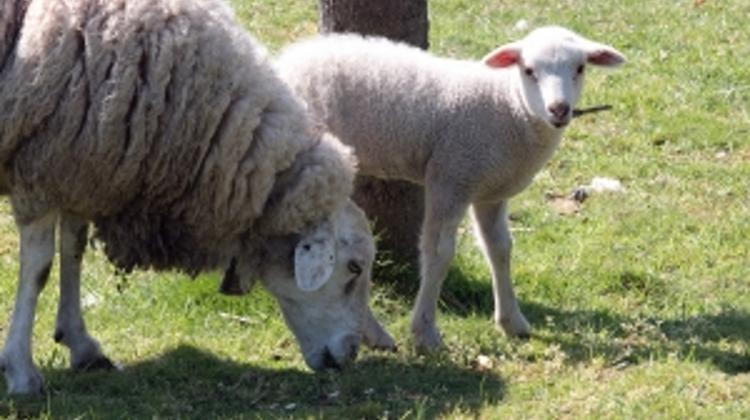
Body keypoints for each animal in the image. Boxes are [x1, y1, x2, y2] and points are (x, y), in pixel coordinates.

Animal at [0, 0, 394, 395]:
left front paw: (81, 345)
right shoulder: (38, 172)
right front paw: (21, 370)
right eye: (354, 267)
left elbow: (74, 250)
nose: (349, 355)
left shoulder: (76, 170)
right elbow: (39, 269)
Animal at [276, 26, 625, 349]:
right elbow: (438, 253)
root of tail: (281, 64)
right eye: (528, 70)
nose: (559, 109)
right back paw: (372, 333)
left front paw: (511, 321)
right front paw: (425, 332)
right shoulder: (451, 177)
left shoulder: (490, 191)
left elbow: (500, 248)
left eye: (579, 68)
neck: (507, 107)